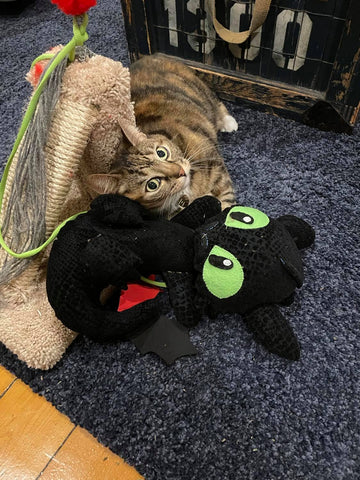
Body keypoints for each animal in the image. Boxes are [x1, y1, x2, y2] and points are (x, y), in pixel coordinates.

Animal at [86, 54, 238, 218]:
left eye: (161, 153)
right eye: (153, 184)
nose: (181, 172)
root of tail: (151, 55)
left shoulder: (217, 169)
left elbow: (226, 199)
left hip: (200, 90)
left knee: (216, 103)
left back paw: (228, 122)